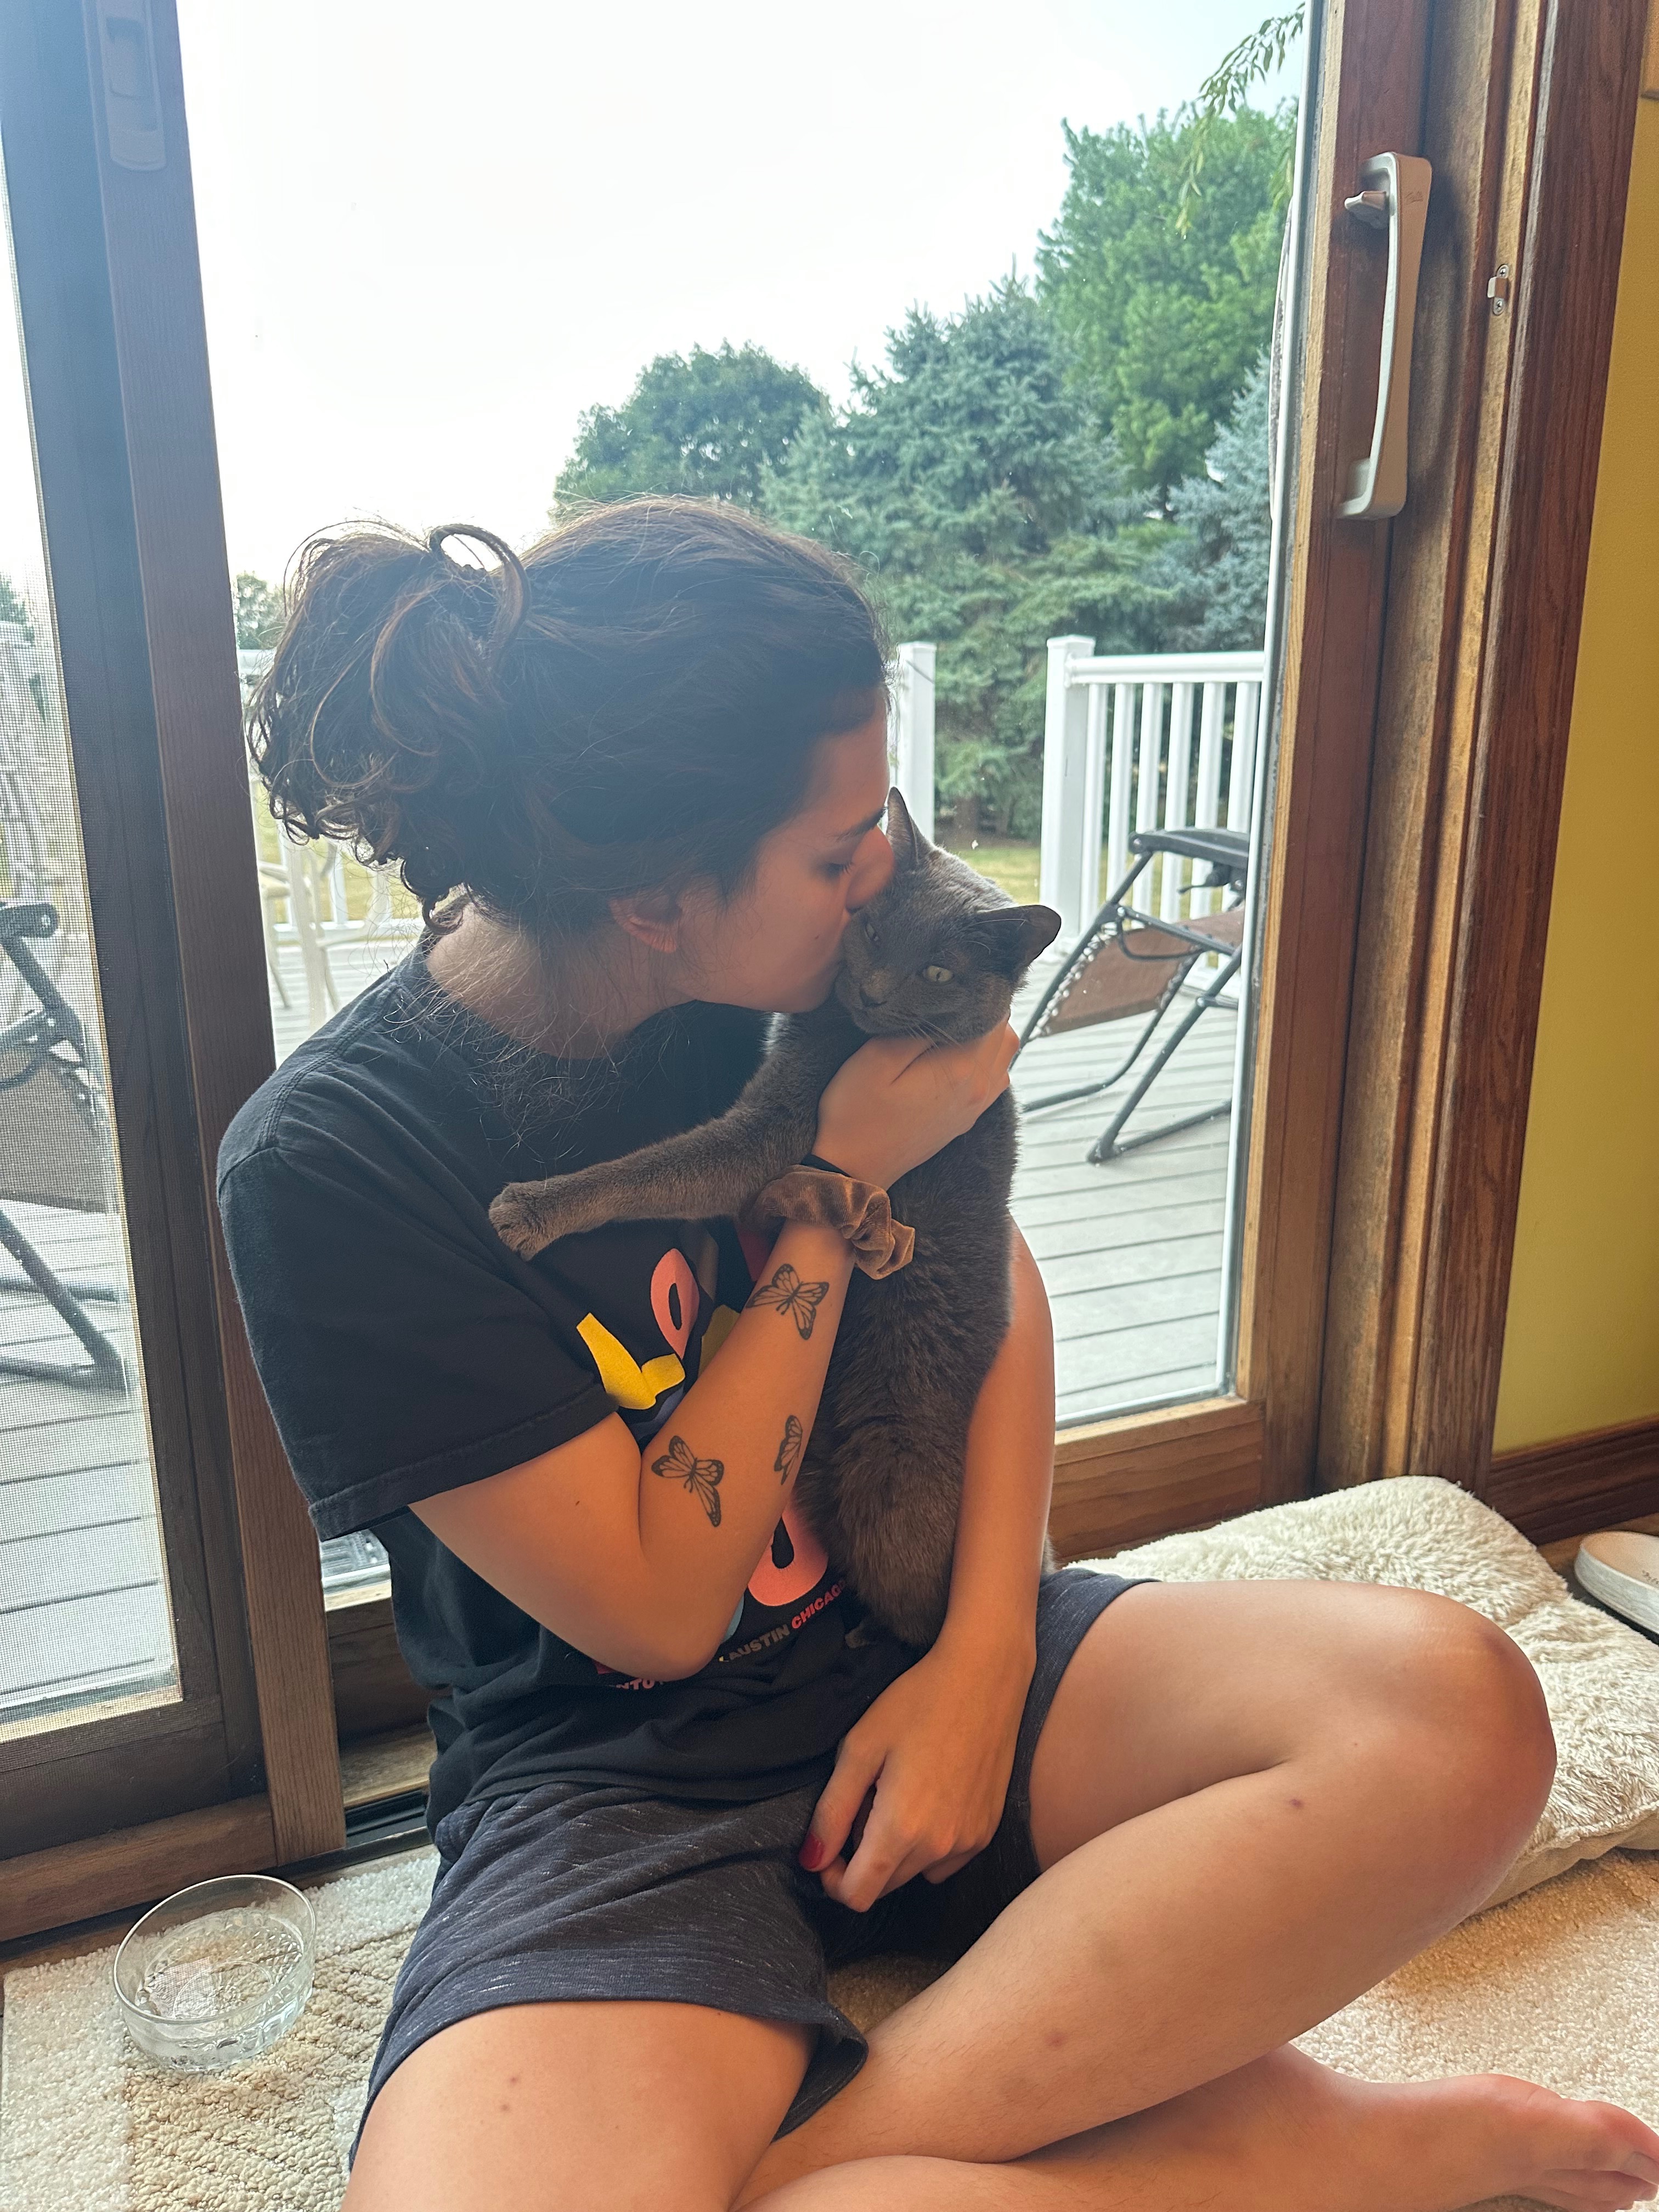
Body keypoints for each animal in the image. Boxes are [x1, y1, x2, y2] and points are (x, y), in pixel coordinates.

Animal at [489, 789, 1063, 1649]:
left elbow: (656, 1169)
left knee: (923, 1609)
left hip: (892, 1498)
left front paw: (533, 1206)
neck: (845, 1028)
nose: (874, 991)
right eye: (871, 930)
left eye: (937, 971)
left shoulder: (777, 1126)